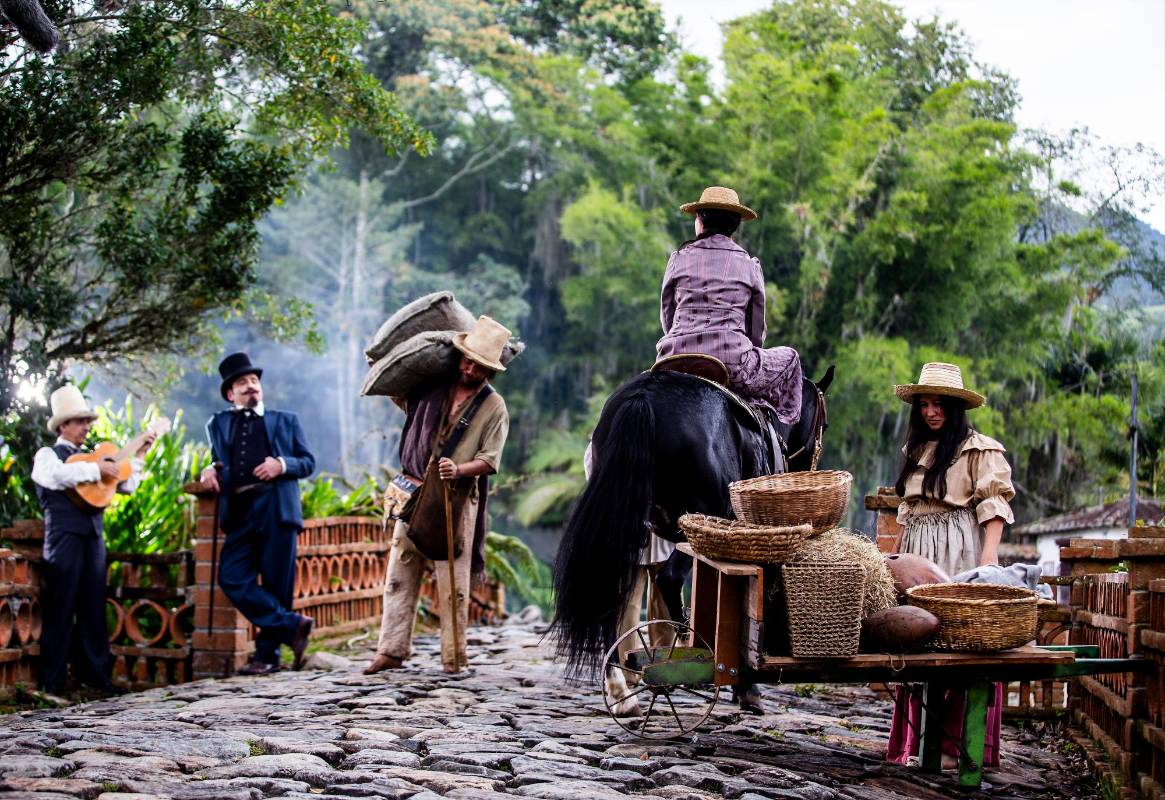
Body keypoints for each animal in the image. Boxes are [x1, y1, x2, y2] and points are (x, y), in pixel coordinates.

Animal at [552, 367, 834, 675]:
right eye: (825, 424)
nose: (806, 469)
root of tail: (646, 395)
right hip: (698, 518)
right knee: (669, 578)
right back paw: (684, 642)